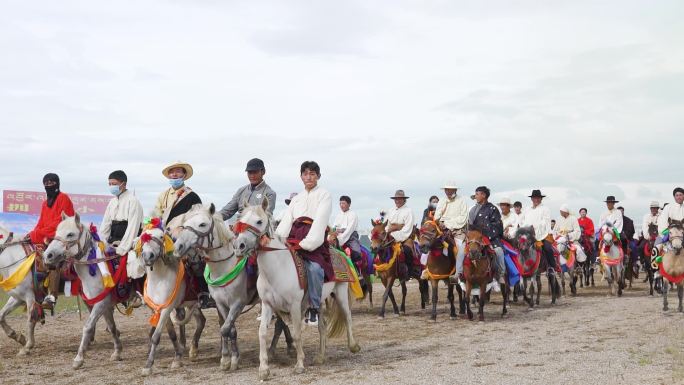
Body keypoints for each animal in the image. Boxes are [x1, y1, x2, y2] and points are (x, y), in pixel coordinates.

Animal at [0, 225, 38, 354]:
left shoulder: (29, 296)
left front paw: (28, 347)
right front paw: (18, 337)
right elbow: (1, 315)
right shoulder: (17, 298)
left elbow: (31, 320)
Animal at [42, 213, 123, 368]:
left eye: (70, 234)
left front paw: (79, 358)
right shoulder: (105, 305)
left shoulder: (100, 303)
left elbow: (88, 326)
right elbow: (111, 326)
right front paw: (117, 352)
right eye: (56, 233)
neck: (95, 268)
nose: (47, 256)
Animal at [137, 222, 206, 376]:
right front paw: (178, 358)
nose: (148, 256)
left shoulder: (166, 309)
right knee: (201, 321)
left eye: (161, 236)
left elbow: (156, 337)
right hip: (191, 305)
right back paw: (193, 351)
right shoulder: (159, 309)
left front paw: (148, 365)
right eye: (143, 236)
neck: (159, 279)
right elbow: (172, 334)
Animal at [232, 200, 360, 380]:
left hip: (340, 293)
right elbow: (262, 333)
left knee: (347, 317)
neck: (278, 269)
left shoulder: (294, 306)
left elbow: (297, 333)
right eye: (241, 219)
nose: (239, 246)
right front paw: (264, 369)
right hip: (319, 301)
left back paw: (353, 346)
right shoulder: (267, 305)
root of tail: (340, 253)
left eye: (259, 221)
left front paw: (299, 365)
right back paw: (320, 357)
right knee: (322, 326)